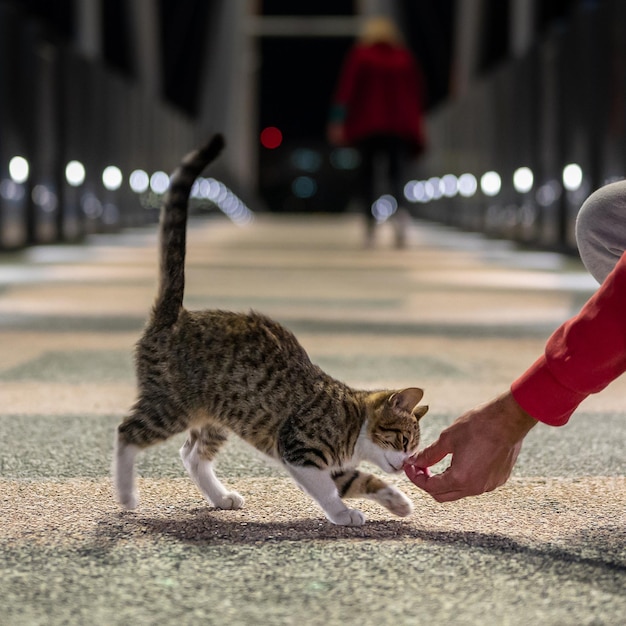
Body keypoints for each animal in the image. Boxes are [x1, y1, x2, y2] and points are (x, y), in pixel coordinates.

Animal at [112, 134, 426, 524]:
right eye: (403, 442)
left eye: (412, 449)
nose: (403, 466)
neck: (354, 422)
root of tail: (175, 315)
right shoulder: (298, 448)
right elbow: (328, 489)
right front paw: (342, 514)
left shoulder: (332, 462)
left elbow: (359, 479)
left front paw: (396, 500)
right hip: (171, 405)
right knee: (126, 433)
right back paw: (126, 494)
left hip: (215, 415)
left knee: (191, 454)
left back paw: (219, 496)